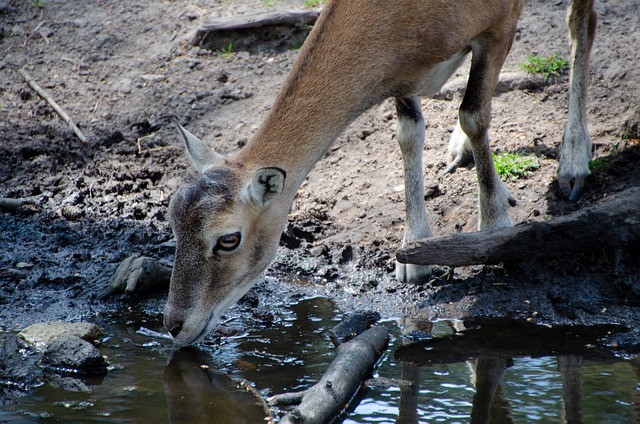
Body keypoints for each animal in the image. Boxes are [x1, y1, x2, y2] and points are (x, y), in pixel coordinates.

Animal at [162, 0, 596, 344]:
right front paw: (413, 256)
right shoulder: (403, 75)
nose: (174, 325)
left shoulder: (499, 22)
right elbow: (409, 132)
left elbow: (474, 113)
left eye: (228, 239)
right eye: (173, 222)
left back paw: (573, 165)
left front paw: (494, 225)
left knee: (582, 20)